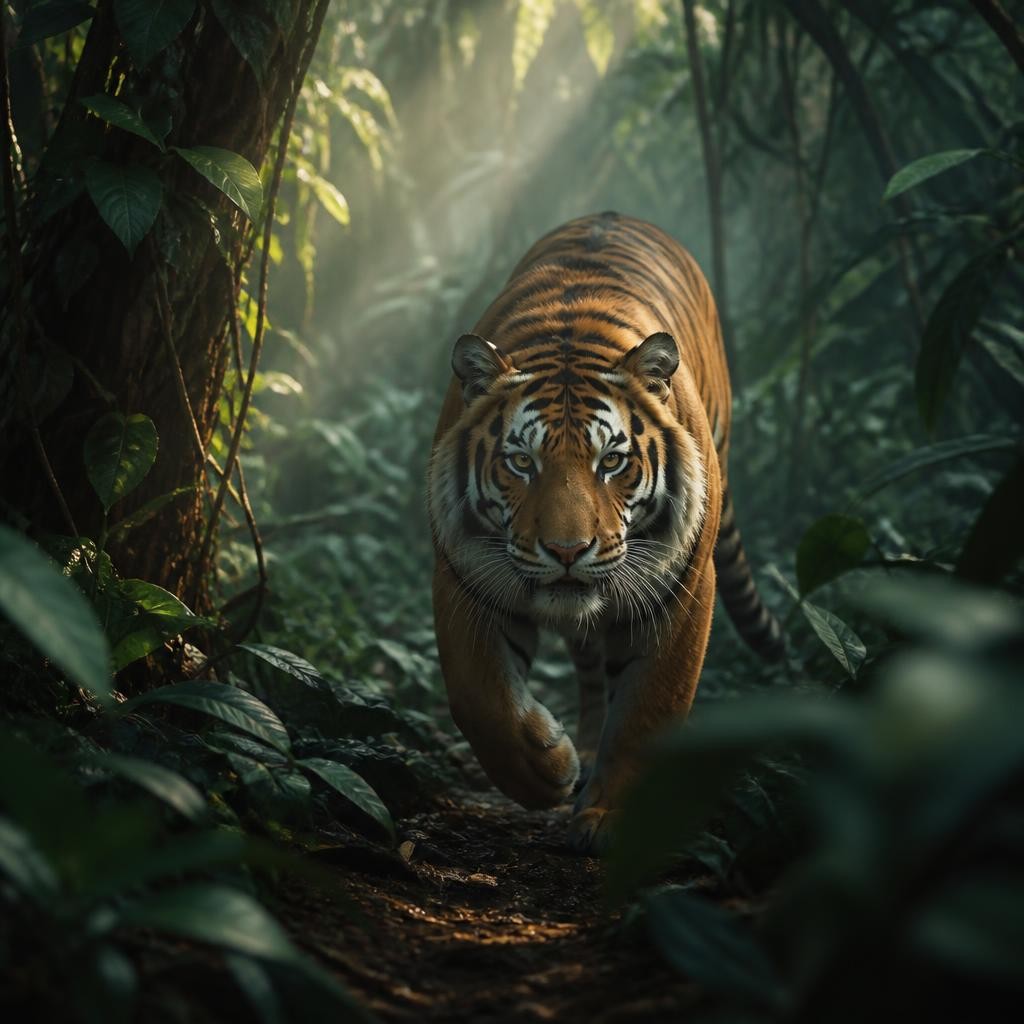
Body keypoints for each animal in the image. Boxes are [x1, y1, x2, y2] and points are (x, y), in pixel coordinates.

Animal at [427, 212, 783, 855]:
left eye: (611, 462)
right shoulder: (463, 574)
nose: (567, 551)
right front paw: (546, 771)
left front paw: (608, 816)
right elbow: (477, 697)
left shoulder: (683, 588)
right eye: (522, 463)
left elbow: (649, 708)